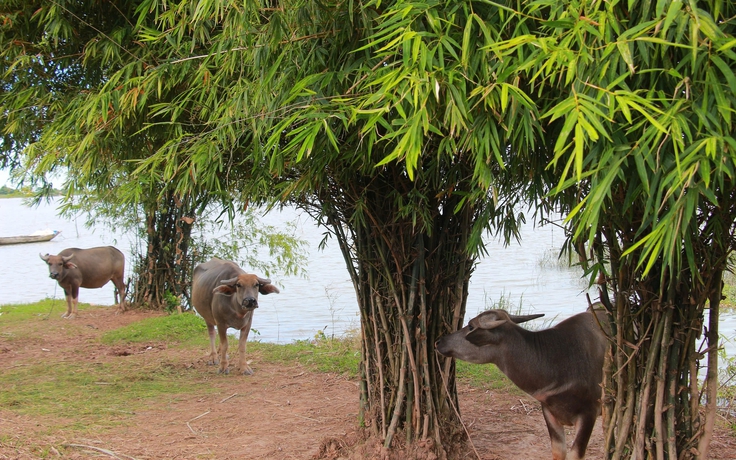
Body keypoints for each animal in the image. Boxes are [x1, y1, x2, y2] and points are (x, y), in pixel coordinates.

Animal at [436, 306, 608, 460]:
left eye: (471, 325)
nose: (439, 341)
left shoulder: (589, 414)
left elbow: (575, 455)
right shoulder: (548, 411)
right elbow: (558, 452)